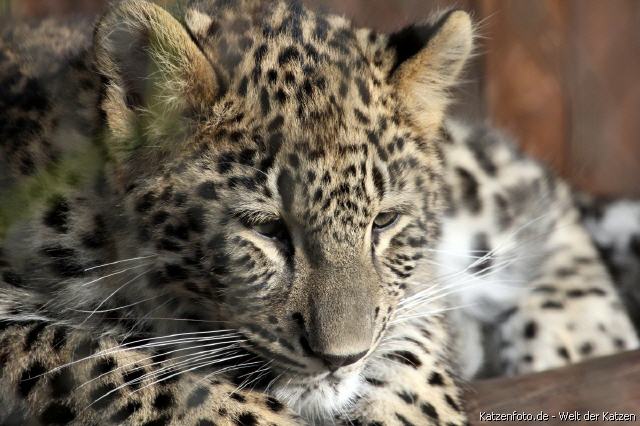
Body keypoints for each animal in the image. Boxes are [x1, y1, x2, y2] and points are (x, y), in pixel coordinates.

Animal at [0, 0, 637, 425]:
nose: (340, 358)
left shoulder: (411, 295)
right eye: (266, 229)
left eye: (384, 223)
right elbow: (122, 367)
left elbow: (409, 349)